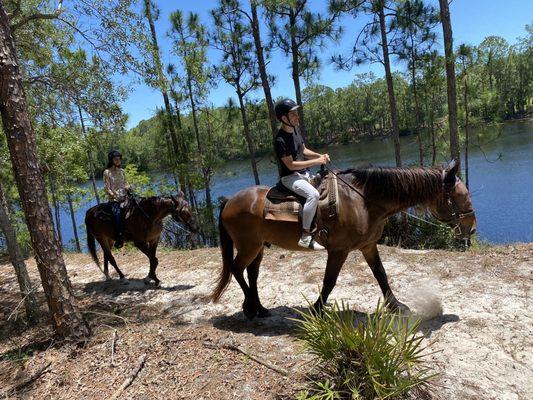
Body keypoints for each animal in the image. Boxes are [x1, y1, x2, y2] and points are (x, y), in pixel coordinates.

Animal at [210, 161, 476, 318]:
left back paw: (259, 308)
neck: (364, 200)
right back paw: (250, 308)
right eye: (461, 196)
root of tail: (229, 201)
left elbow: (381, 275)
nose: (472, 229)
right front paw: (316, 310)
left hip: (258, 247)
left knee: (251, 273)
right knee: (236, 269)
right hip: (248, 246)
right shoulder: (339, 251)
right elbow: (329, 281)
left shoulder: (368, 246)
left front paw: (395, 305)